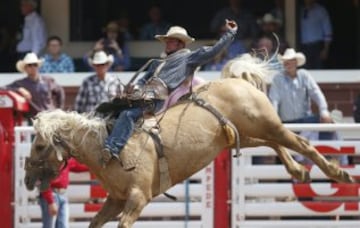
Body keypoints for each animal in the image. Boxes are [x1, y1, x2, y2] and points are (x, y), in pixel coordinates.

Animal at [24, 54, 354, 228]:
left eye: (39, 145)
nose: (27, 180)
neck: (108, 148)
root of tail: (237, 80)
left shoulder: (137, 198)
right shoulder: (115, 200)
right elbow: (95, 223)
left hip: (269, 123)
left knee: (302, 144)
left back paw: (341, 173)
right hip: (240, 136)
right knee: (272, 144)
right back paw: (298, 172)